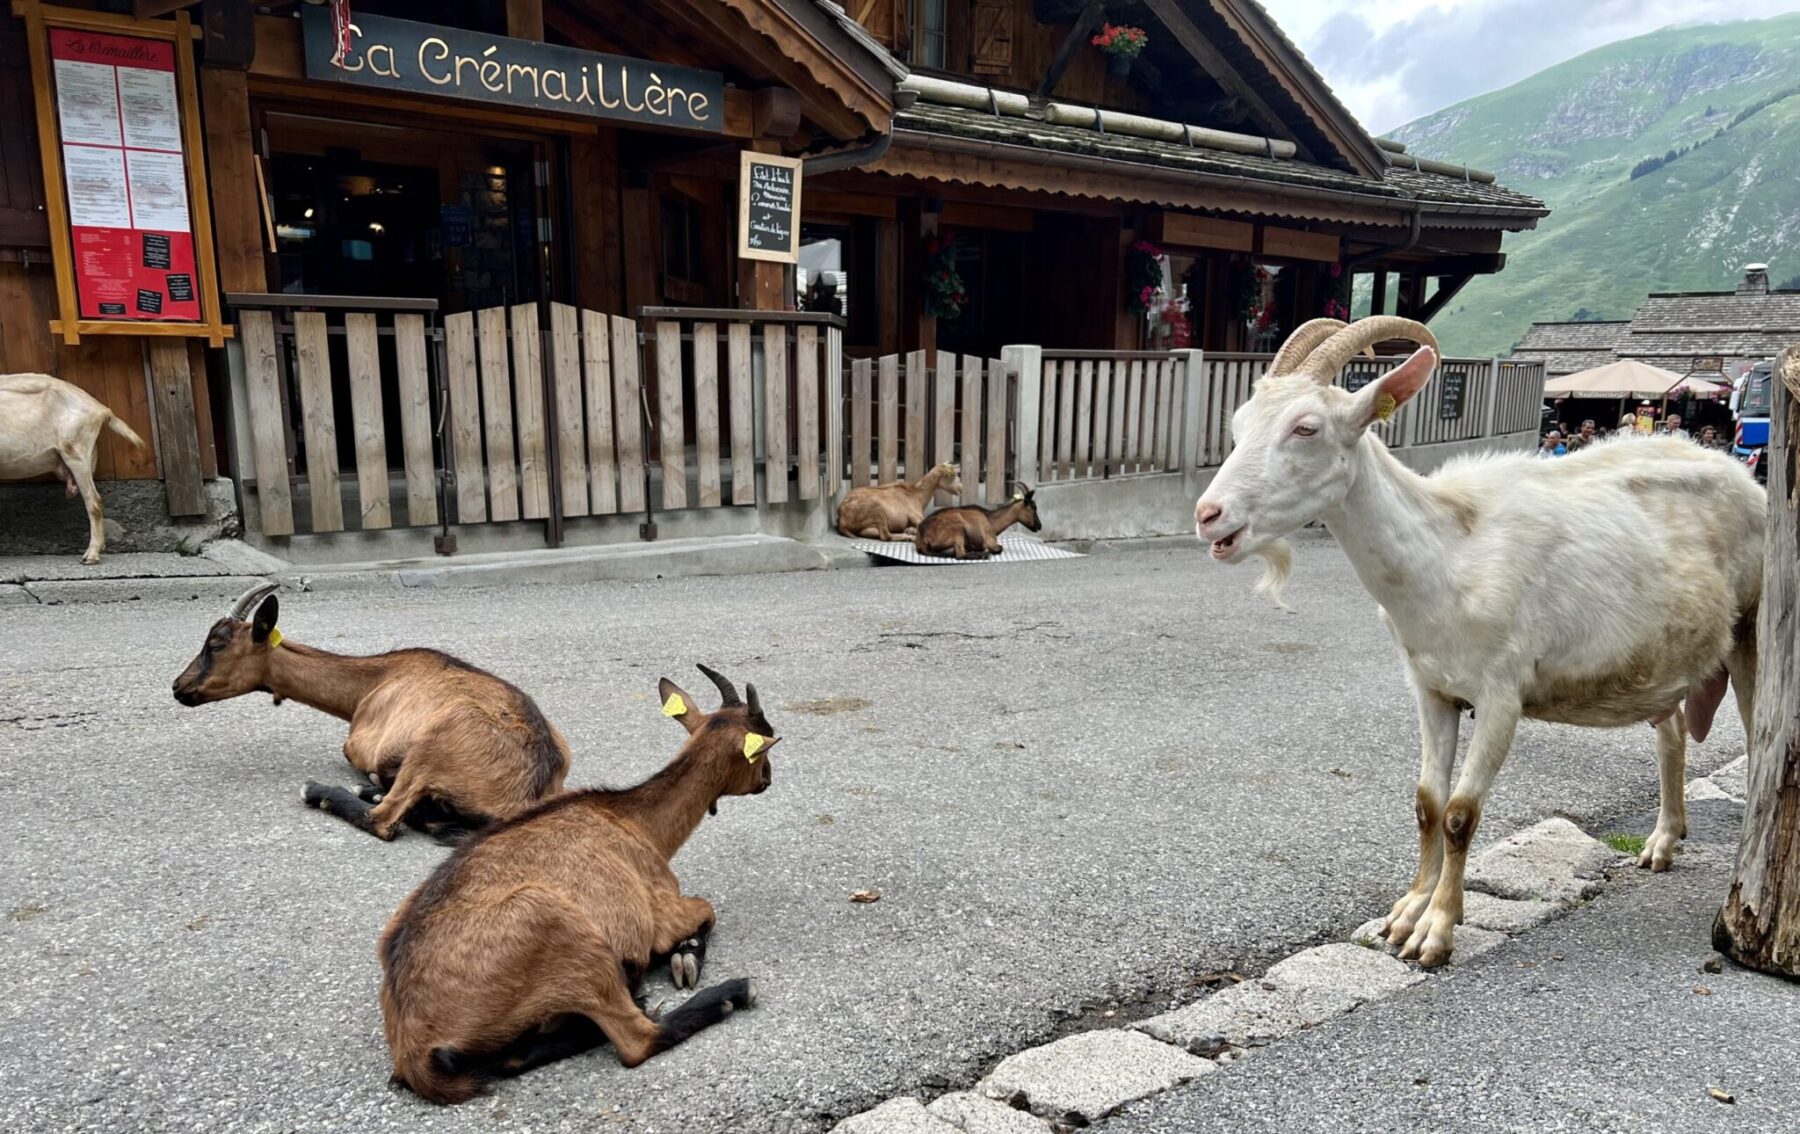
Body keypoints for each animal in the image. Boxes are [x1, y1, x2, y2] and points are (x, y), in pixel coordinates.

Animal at [171, 586, 568, 846]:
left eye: (216, 645)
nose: (178, 686)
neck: (374, 681)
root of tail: (528, 790)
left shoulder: (361, 745)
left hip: (436, 743)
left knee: (385, 821)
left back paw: (325, 790)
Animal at [835, 460, 964, 540]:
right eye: (954, 475)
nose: (961, 488)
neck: (917, 495)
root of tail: (842, 516)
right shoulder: (915, 516)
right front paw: (911, 531)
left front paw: (910, 530)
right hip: (878, 510)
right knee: (886, 536)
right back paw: (908, 537)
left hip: (868, 524)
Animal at [914, 486, 1044, 565]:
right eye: (1033, 507)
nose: (1039, 526)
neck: (990, 519)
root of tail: (922, 536)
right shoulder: (989, 539)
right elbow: (999, 548)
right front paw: (986, 550)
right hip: (957, 529)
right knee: (960, 555)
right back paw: (982, 554)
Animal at [1188, 318, 1764, 972]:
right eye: (1239, 426)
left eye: (1305, 428)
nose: (1209, 515)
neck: (1448, 552)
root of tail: (1742, 476)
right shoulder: (1431, 688)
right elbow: (1427, 805)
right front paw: (1406, 911)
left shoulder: (1500, 694)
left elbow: (1462, 815)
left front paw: (1436, 930)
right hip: (1660, 656)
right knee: (1672, 733)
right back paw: (1663, 842)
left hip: (1751, 627)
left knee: (1756, 738)